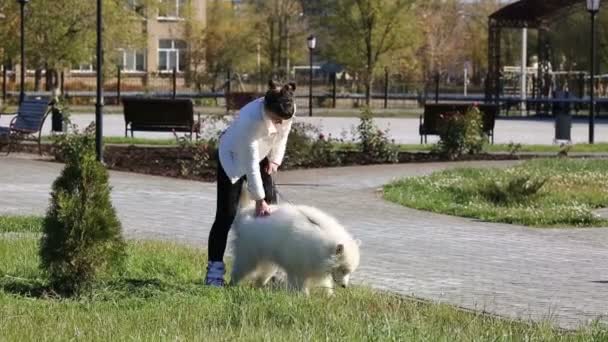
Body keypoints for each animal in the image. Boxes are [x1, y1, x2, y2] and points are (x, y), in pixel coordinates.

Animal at [230, 188, 358, 296]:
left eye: (348, 271)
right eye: (343, 270)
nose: (344, 286)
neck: (322, 247)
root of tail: (245, 212)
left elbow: (326, 284)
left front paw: (330, 296)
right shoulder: (298, 268)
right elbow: (300, 286)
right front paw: (303, 297)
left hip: (268, 262)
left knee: (261, 276)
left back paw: (258, 287)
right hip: (247, 257)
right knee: (238, 271)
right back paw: (231, 285)